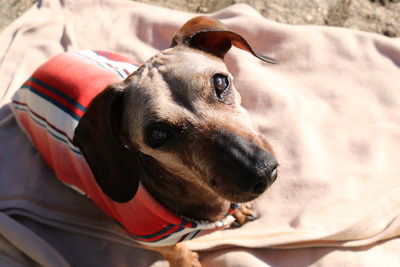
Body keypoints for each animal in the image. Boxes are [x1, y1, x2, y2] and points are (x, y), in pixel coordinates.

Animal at [10, 15, 278, 266]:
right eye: (158, 135)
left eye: (220, 82)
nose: (263, 171)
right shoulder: (150, 240)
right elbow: (175, 250)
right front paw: (187, 260)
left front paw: (240, 210)